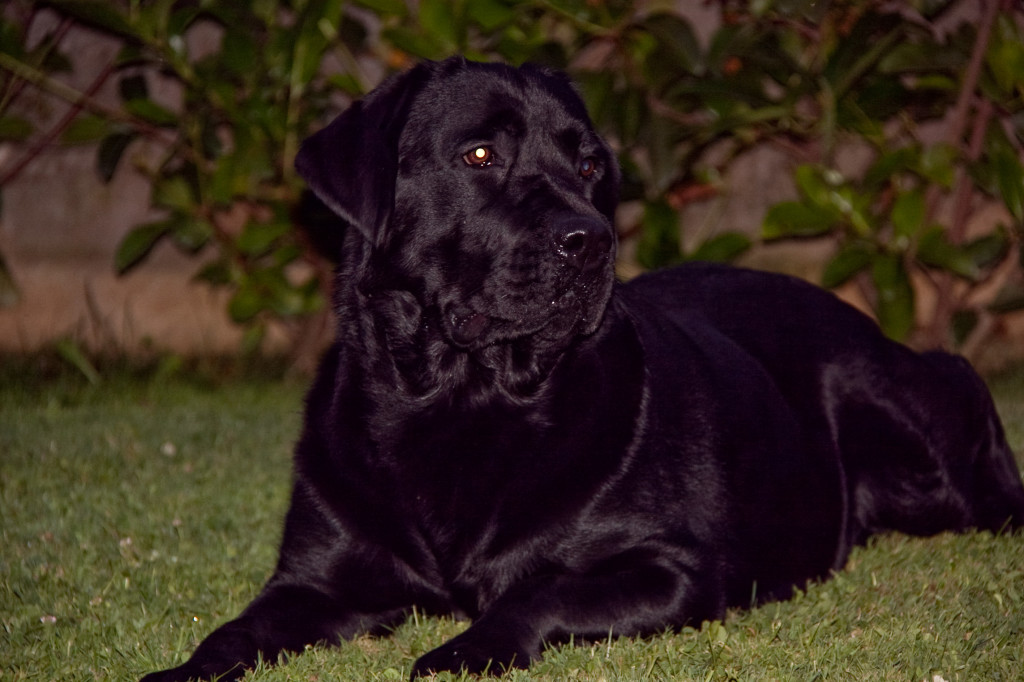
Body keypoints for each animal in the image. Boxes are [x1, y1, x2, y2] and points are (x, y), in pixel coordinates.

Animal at [142, 57, 1024, 675]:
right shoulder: (313, 581)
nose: (592, 241)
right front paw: (177, 671)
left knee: (963, 390)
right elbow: (233, 632)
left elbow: (540, 594)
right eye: (480, 153)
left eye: (591, 166)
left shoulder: (672, 570)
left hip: (899, 420)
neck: (461, 401)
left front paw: (461, 650)